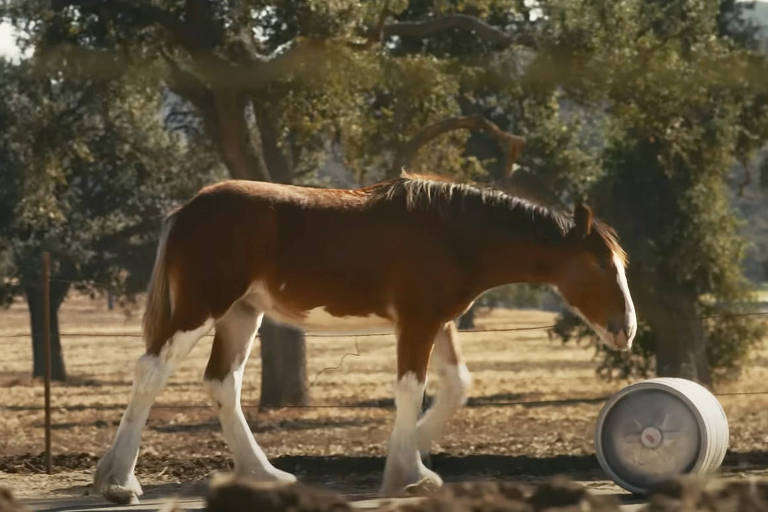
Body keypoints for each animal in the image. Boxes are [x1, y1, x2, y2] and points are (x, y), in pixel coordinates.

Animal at [94, 176, 636, 504]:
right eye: (598, 265)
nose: (626, 328)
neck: (452, 235)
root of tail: (186, 211)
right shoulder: (416, 323)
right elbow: (410, 390)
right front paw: (408, 472)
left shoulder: (437, 324)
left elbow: (455, 384)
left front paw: (410, 458)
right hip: (202, 309)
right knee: (152, 372)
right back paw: (119, 482)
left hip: (241, 315)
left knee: (222, 383)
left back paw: (264, 476)